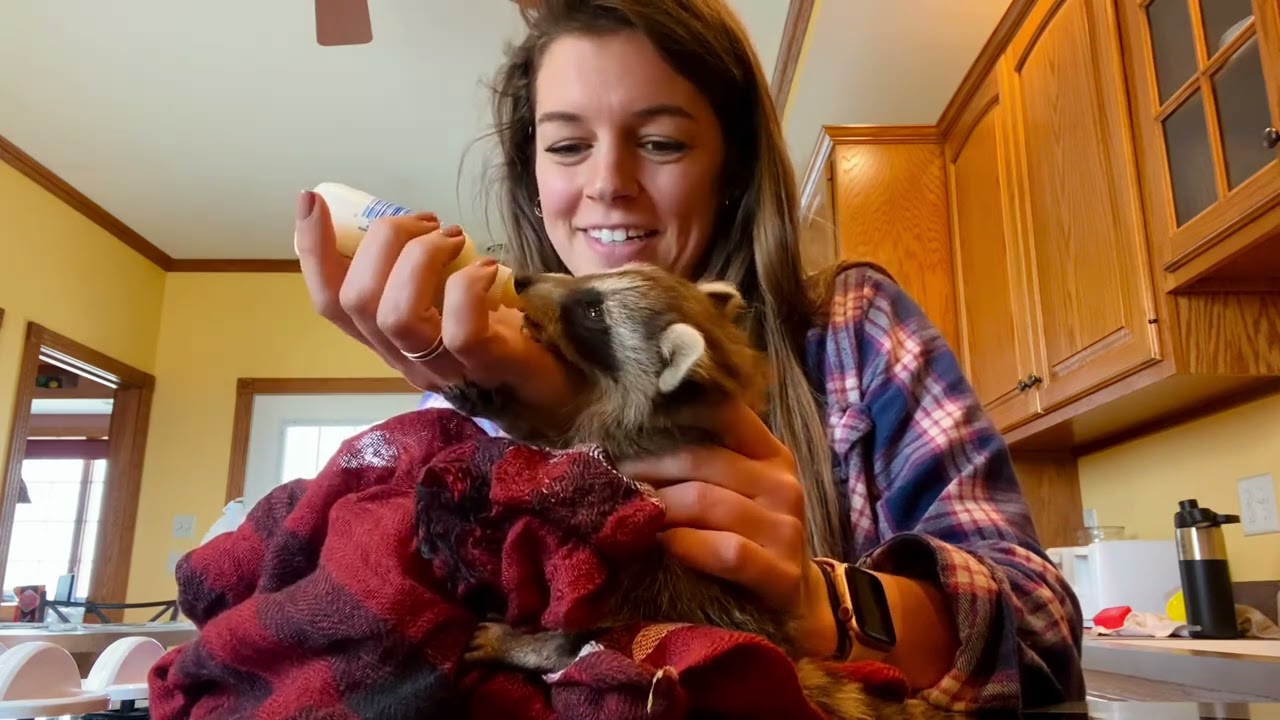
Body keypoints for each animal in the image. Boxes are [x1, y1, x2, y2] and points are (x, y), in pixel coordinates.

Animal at [441, 263, 952, 720]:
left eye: (593, 312)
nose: (523, 280)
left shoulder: (623, 446)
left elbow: (559, 446)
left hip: (666, 597)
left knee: (595, 631)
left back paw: (537, 646)